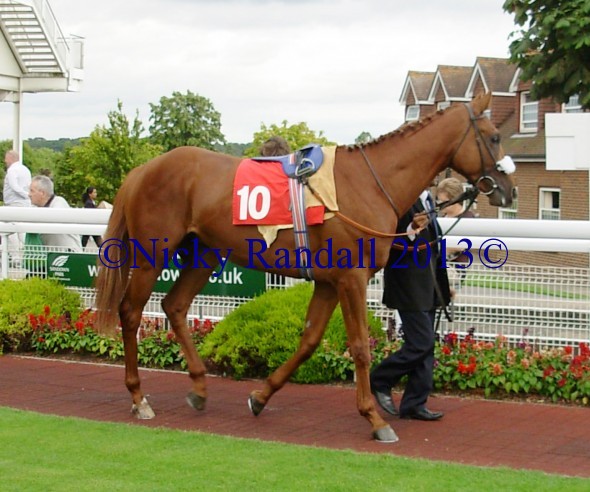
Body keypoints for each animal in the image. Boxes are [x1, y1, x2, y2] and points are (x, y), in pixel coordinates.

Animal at [95, 92, 516, 442]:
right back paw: (139, 397)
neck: (368, 183)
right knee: (131, 312)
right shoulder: (351, 279)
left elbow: (310, 340)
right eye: (494, 137)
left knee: (175, 306)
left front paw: (260, 396)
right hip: (153, 253)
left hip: (205, 253)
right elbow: (360, 347)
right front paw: (375, 419)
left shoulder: (329, 282)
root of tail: (143, 170)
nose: (508, 191)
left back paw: (199, 388)